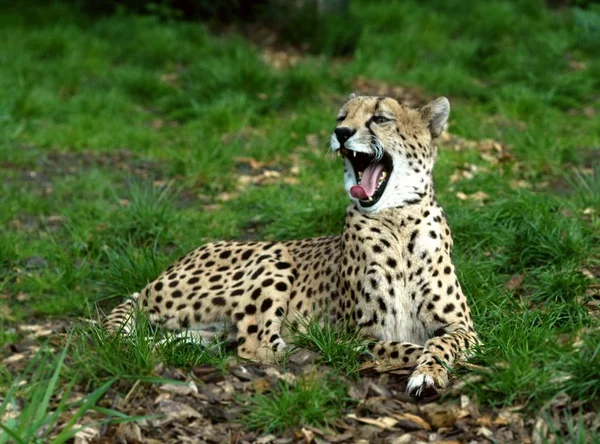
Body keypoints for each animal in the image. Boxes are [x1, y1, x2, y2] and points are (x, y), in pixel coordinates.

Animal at [103, 94, 478, 396]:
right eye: (342, 117)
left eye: (380, 118)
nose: (341, 133)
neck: (397, 219)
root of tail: (155, 279)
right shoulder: (360, 333)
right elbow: (398, 346)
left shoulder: (464, 328)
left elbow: (442, 341)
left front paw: (429, 372)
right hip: (274, 255)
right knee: (256, 346)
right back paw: (311, 349)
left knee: (202, 340)